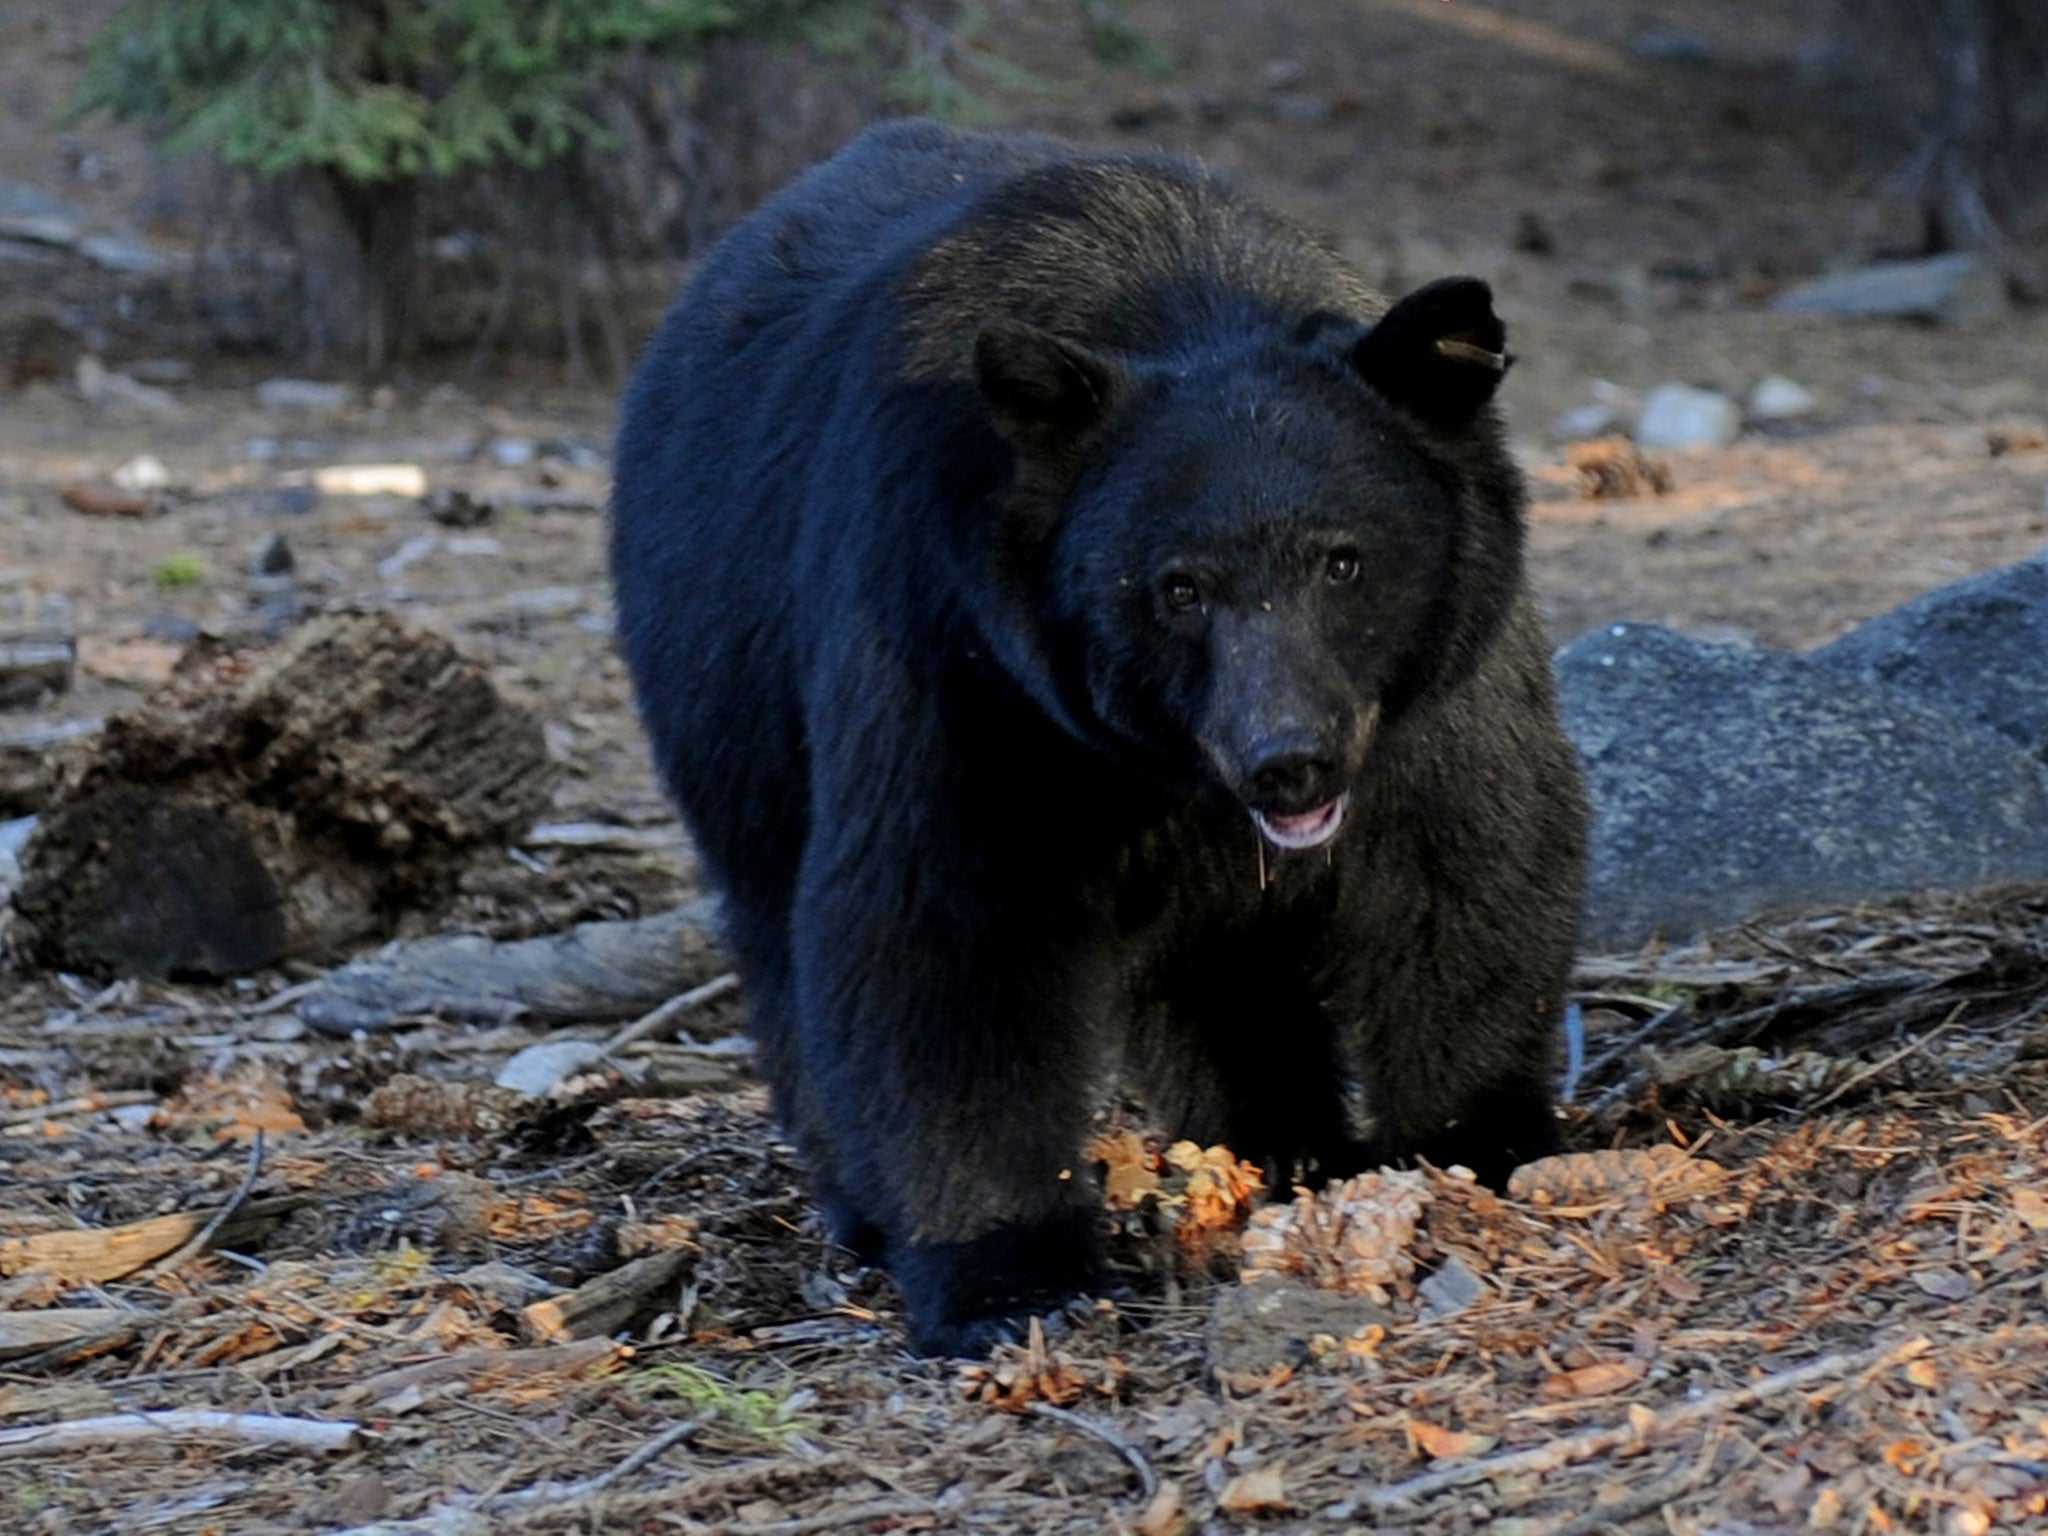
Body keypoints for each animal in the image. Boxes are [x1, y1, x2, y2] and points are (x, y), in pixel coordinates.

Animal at [614, 126, 1589, 1368]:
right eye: (1176, 587)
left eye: (1343, 559)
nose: (1289, 760)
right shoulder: (960, 651)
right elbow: (946, 927)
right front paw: (1008, 1276)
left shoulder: (1431, 698)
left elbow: (1465, 869)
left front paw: (1479, 1147)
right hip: (723, 694)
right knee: (780, 934)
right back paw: (865, 1204)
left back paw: (1277, 1145)